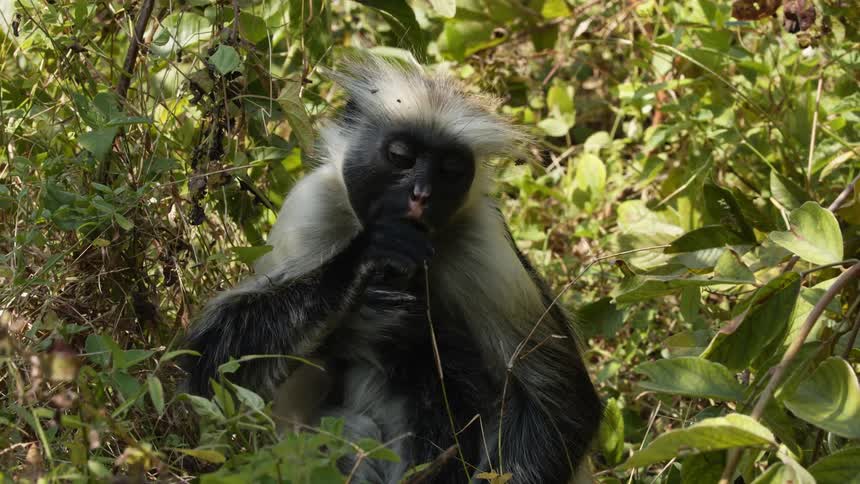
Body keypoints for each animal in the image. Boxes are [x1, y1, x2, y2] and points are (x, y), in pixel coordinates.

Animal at [183, 55, 602, 484]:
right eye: (401, 156)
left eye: (451, 170)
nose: (421, 194)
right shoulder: (313, 208)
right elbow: (217, 365)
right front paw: (366, 272)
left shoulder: (481, 242)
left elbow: (562, 404)